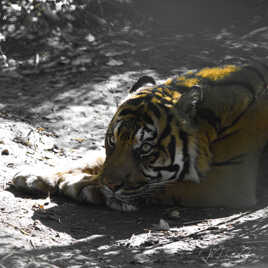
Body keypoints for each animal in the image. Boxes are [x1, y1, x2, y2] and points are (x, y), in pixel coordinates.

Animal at [12, 62, 268, 211]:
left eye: (145, 149)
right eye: (112, 141)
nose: (110, 185)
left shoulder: (230, 179)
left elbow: (164, 186)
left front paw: (82, 185)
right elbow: (90, 160)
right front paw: (33, 174)